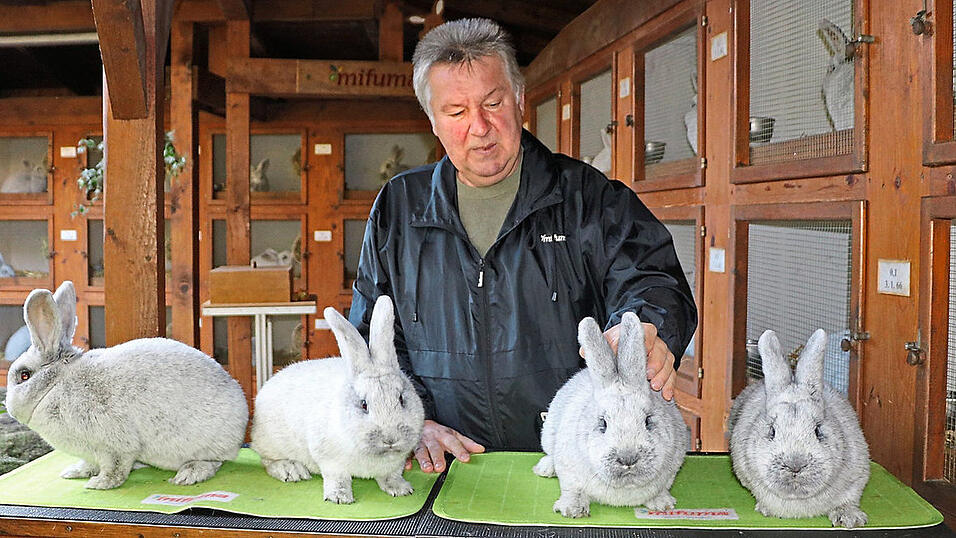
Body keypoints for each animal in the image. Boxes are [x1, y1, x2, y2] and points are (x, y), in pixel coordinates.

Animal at [3, 281, 249, 490]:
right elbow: (90, 463)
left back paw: (188, 474)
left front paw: (99, 484)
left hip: (204, 444)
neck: (54, 387)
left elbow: (115, 467)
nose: (8, 407)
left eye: (24, 376)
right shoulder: (93, 452)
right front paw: (75, 472)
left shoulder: (114, 445)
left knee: (213, 461)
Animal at [250, 295, 425, 504]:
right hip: (272, 443)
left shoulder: (395, 465)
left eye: (401, 399)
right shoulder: (330, 460)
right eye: (364, 404)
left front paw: (401, 489)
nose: (390, 439)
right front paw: (340, 497)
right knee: (267, 461)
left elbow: (391, 476)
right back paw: (292, 470)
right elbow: (338, 478)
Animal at [533, 312, 688, 518]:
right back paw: (544, 469)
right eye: (603, 424)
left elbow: (661, 489)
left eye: (648, 421)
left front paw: (663, 504)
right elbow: (572, 490)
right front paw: (573, 510)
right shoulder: (568, 470)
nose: (628, 459)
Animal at [728, 329, 869, 528]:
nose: (795, 465)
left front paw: (850, 519)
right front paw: (766, 509)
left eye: (818, 430)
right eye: (772, 431)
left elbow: (849, 499)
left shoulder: (858, 477)